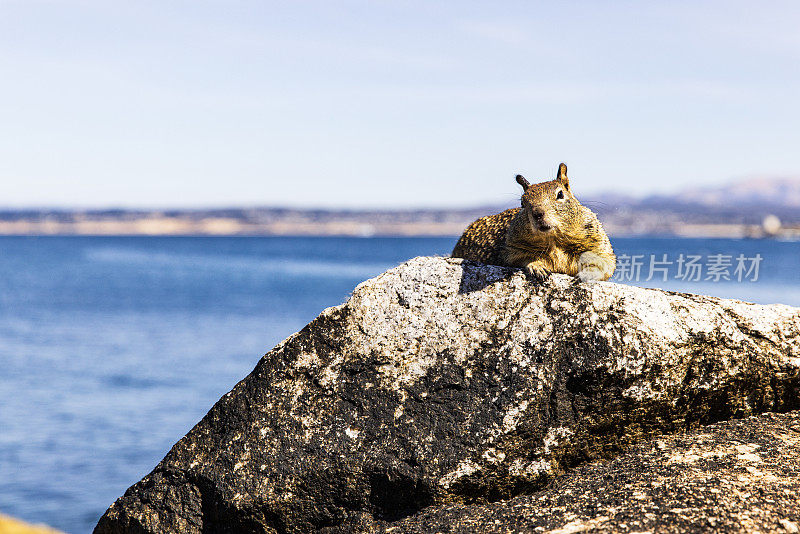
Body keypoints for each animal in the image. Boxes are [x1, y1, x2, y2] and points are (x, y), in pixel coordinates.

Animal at [454, 163, 616, 282]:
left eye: (560, 194)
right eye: (522, 202)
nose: (537, 213)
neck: (554, 240)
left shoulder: (598, 245)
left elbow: (604, 264)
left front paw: (588, 273)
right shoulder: (511, 249)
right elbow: (523, 258)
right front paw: (537, 266)